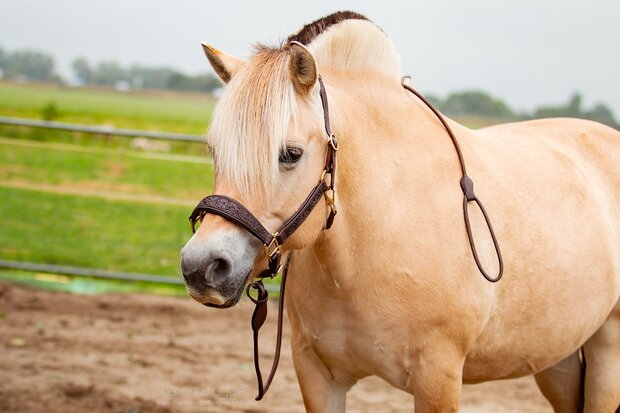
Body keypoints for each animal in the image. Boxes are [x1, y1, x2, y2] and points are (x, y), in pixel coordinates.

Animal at [180, 11, 620, 410]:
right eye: (214, 151)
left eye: (290, 154)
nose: (201, 266)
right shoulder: (317, 375)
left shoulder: (438, 378)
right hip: (557, 356)